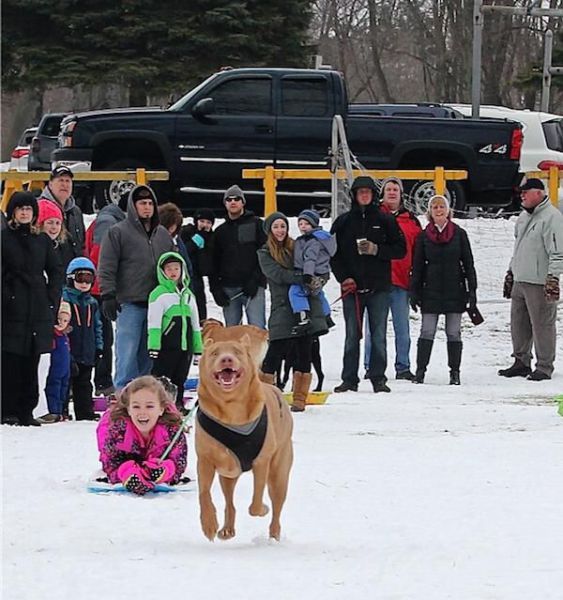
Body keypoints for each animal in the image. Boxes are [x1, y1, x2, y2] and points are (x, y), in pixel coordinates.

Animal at [197, 330, 296, 540]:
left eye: (237, 352)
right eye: (215, 353)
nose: (227, 359)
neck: (231, 408)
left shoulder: (261, 461)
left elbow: (256, 504)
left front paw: (262, 508)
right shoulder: (205, 459)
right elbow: (203, 493)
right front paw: (209, 523)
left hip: (279, 472)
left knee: (277, 503)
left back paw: (274, 534)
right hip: (228, 473)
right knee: (229, 501)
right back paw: (227, 529)